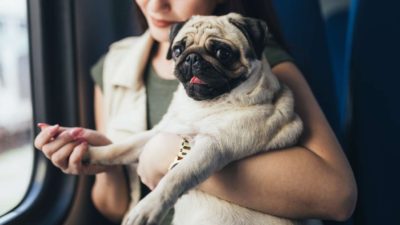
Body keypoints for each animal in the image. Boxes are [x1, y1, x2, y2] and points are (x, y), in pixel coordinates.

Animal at [85, 13, 304, 225]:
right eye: (177, 50)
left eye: (222, 53)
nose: (191, 58)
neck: (202, 105)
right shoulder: (160, 131)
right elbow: (121, 148)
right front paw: (90, 153)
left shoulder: (213, 147)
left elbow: (176, 176)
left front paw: (148, 207)